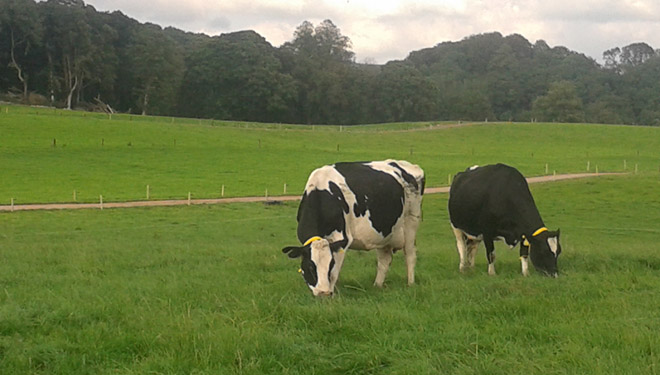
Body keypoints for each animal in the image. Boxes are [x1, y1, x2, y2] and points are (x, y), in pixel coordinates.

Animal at [282, 160, 426, 298]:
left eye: (330, 264)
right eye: (310, 266)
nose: (324, 293)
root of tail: (408, 165)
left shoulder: (342, 238)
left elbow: (334, 274)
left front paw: (333, 294)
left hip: (411, 222)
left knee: (410, 255)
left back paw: (410, 284)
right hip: (384, 233)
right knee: (384, 260)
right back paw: (377, 285)